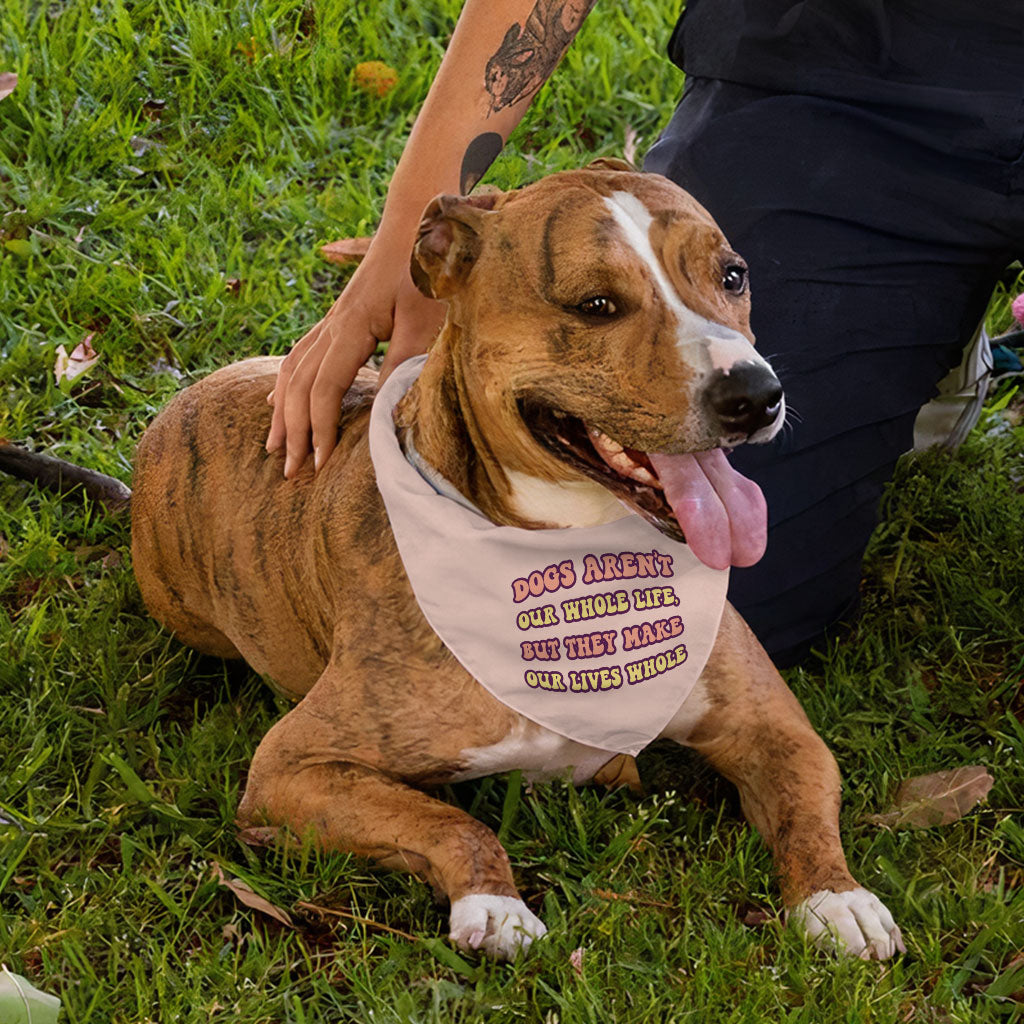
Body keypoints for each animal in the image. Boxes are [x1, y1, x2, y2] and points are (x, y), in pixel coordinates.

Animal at [121, 159, 905, 958]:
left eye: (733, 275)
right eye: (596, 305)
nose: (756, 393)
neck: (576, 563)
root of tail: (183, 399)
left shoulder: (775, 728)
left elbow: (806, 806)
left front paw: (837, 897)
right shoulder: (292, 766)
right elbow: (450, 821)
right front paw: (493, 904)